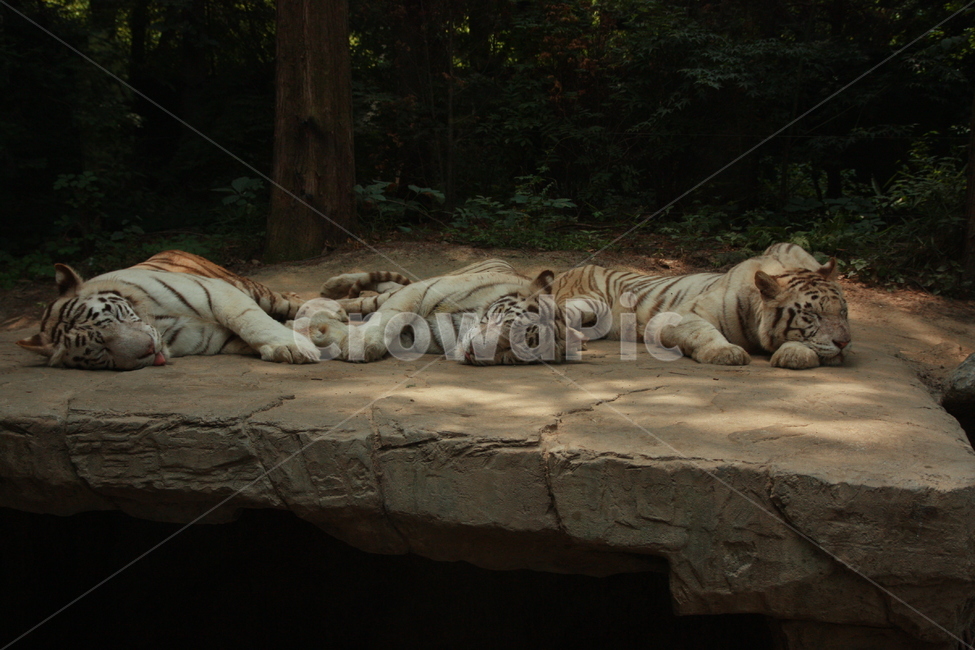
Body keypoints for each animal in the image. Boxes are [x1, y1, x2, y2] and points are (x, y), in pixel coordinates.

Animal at [16, 250, 320, 370]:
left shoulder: (217, 292)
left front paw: (291, 346)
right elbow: (247, 337)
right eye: (101, 350)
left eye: (114, 317)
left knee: (289, 300)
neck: (158, 324)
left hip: (254, 290)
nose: (149, 349)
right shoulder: (211, 339)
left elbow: (250, 320)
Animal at [304, 259, 580, 364]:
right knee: (376, 296)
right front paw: (360, 343)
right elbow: (390, 315)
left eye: (517, 348)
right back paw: (329, 289)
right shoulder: (418, 292)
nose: (475, 351)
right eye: (500, 318)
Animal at [549, 242, 851, 369]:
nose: (844, 343)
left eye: (843, 312)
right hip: (590, 303)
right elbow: (702, 333)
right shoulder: (679, 316)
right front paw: (725, 352)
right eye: (812, 314)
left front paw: (795, 354)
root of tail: (567, 272)